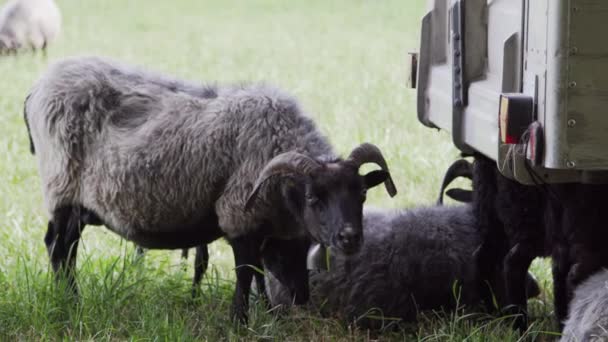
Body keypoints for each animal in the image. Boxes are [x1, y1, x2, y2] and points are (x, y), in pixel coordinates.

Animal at [23, 55, 396, 320]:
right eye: (313, 197)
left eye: (362, 194)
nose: (350, 238)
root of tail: (37, 87)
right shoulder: (238, 214)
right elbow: (245, 273)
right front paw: (239, 321)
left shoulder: (266, 228)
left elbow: (260, 273)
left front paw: (268, 315)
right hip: (63, 188)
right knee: (59, 249)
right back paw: (70, 302)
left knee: (63, 248)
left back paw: (67, 298)